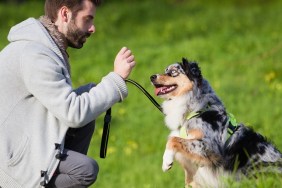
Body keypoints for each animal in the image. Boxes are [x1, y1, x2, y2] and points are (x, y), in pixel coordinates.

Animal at [151, 58, 280, 187]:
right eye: (165, 71)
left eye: (173, 72)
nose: (152, 77)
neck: (194, 109)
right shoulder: (192, 172)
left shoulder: (211, 147)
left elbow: (173, 140)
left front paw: (166, 162)